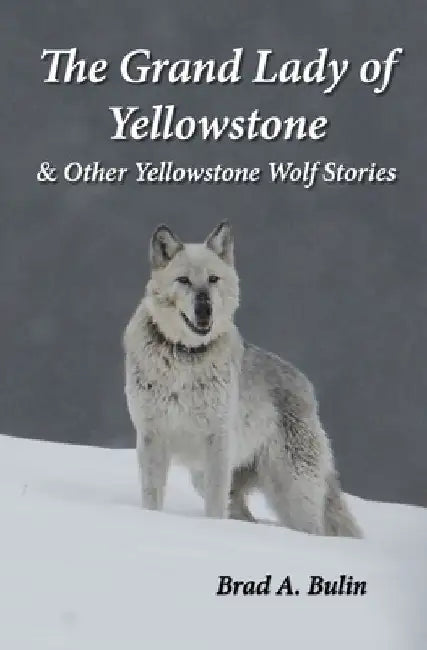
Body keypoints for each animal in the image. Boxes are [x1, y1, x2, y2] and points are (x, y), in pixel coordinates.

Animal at [124, 222, 362, 537]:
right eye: (184, 280)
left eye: (213, 279)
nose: (204, 309)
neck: (185, 359)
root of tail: (307, 386)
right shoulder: (152, 438)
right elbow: (152, 500)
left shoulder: (217, 443)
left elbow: (214, 509)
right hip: (208, 478)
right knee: (246, 516)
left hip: (293, 491)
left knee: (313, 527)